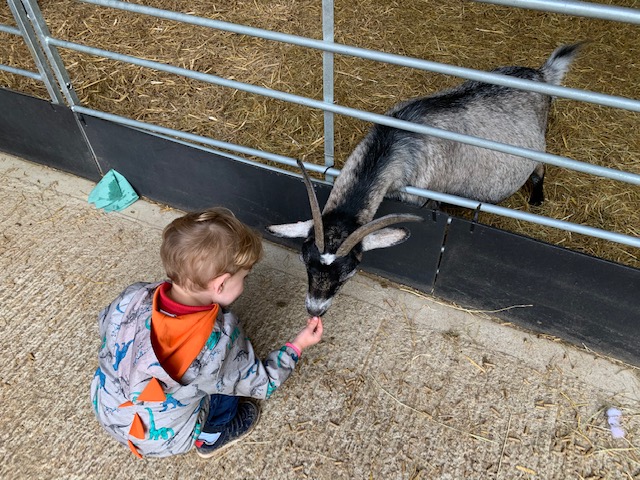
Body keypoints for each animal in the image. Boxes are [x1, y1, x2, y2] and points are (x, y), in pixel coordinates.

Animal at [268, 43, 584, 316]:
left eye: (349, 271)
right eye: (305, 261)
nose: (314, 309)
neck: (394, 142)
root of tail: (542, 74)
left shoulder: (425, 196)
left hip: (538, 147)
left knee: (540, 169)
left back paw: (537, 199)